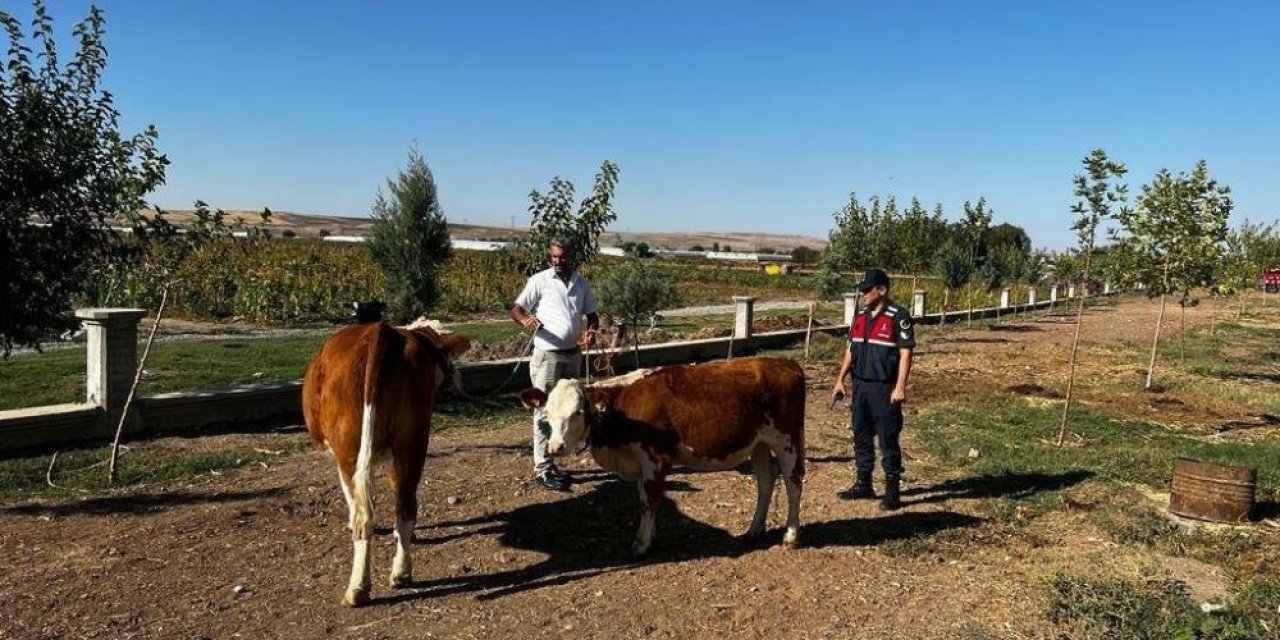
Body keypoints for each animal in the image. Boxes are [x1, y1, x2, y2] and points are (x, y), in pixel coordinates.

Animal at [303, 318, 471, 604]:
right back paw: (401, 572)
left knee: (364, 516)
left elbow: (351, 498)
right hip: (412, 442)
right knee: (406, 504)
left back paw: (357, 588)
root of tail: (383, 331)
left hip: (350, 448)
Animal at [517, 358, 798, 552]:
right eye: (547, 413)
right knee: (766, 481)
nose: (555, 447)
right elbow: (643, 499)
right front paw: (648, 537)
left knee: (793, 481)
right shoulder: (640, 464)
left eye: (577, 412)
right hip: (759, 444)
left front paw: (641, 544)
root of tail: (786, 363)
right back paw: (754, 529)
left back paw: (790, 535)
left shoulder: (655, 460)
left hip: (787, 441)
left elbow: (649, 501)